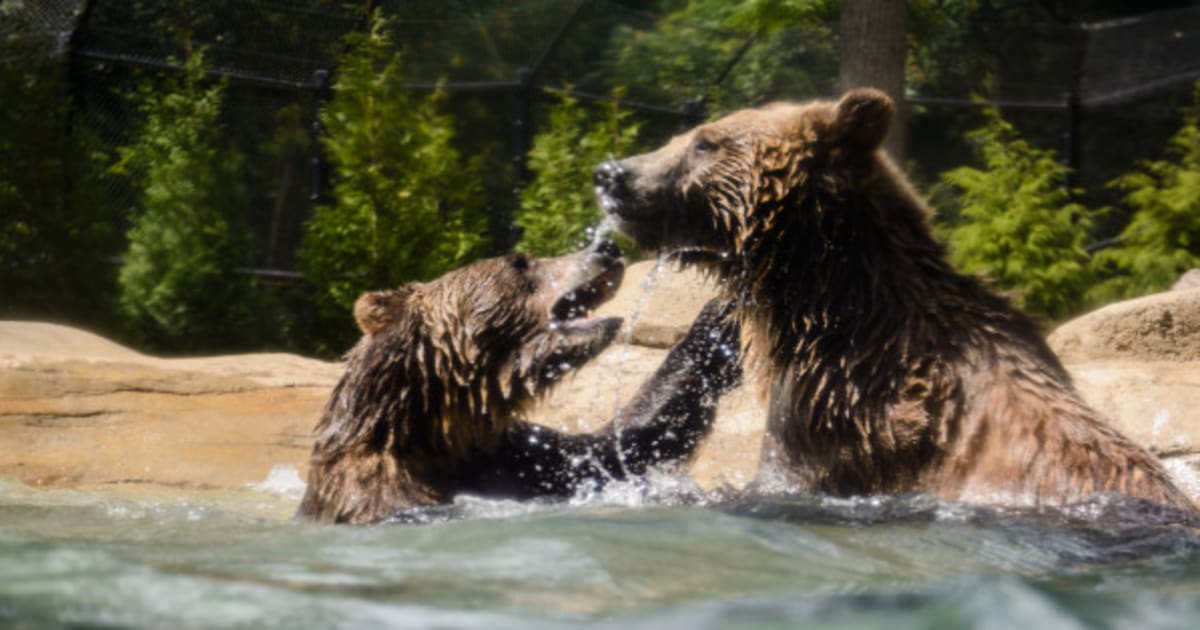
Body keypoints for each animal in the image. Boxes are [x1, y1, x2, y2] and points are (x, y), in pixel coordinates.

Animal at [295, 238, 739, 523]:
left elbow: (622, 446)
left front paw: (718, 319)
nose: (607, 248)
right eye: (520, 262)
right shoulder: (380, 490)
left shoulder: (518, 454)